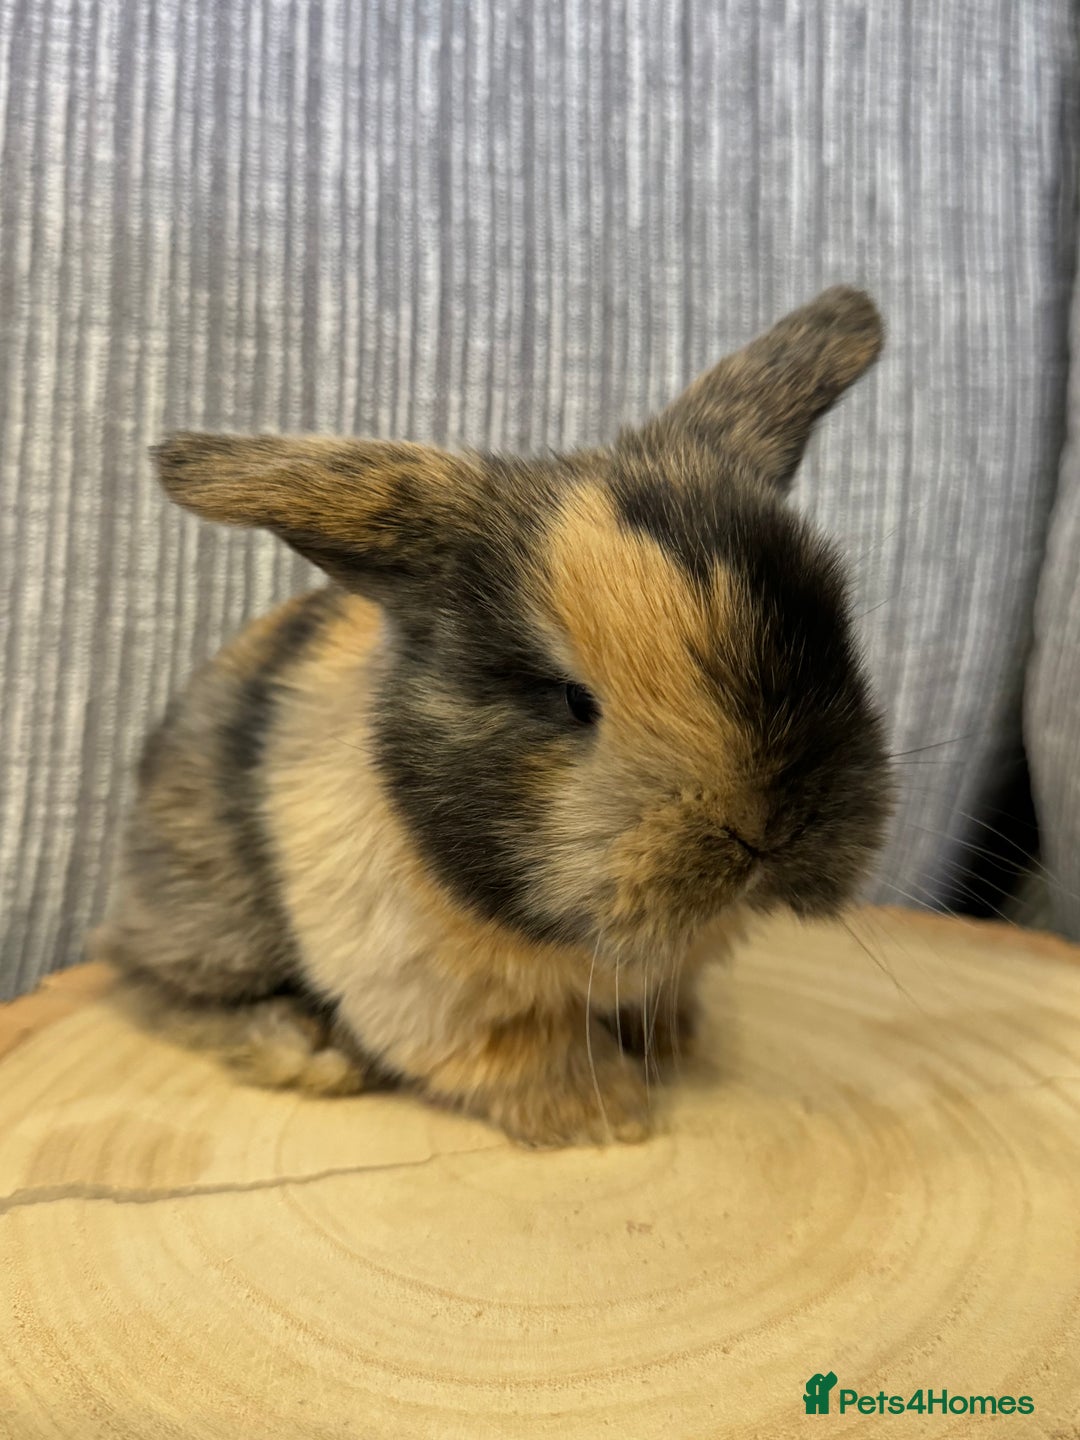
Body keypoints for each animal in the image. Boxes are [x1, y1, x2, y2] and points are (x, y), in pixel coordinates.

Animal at [91, 285, 890, 1148]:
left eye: (836, 636)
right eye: (573, 699)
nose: (768, 830)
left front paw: (673, 1047)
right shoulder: (431, 993)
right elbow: (528, 1049)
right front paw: (606, 1118)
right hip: (210, 915)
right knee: (144, 982)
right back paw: (307, 1053)